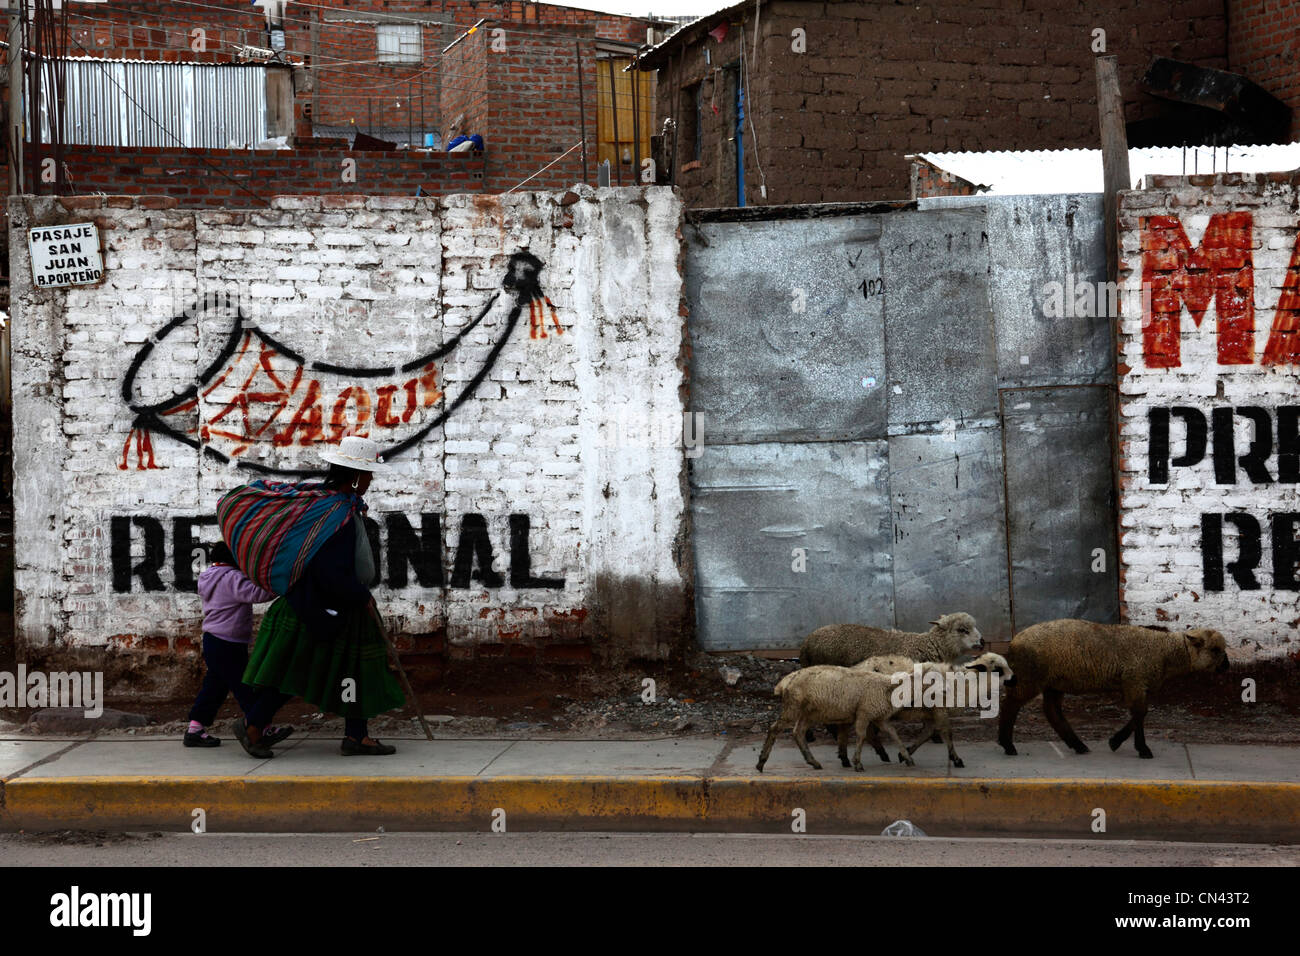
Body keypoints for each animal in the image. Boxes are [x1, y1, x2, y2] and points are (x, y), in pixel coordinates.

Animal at [754, 660, 946, 775]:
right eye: (933, 677)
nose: (946, 691)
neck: (888, 688)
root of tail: (787, 680)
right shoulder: (864, 713)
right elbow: (861, 736)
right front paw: (857, 763)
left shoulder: (879, 717)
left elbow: (893, 734)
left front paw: (907, 758)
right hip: (793, 706)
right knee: (774, 729)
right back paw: (761, 763)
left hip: (810, 712)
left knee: (798, 733)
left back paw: (813, 762)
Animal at [852, 650, 1013, 770]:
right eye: (998, 670)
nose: (1014, 679)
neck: (962, 684)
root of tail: (858, 667)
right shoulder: (940, 710)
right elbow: (947, 734)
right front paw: (957, 760)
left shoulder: (932, 715)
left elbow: (927, 734)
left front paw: (905, 754)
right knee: (866, 731)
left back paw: (879, 754)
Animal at [993, 621, 1227, 764]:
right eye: (1215, 649)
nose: (1226, 667)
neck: (1165, 652)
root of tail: (1014, 642)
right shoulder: (1135, 680)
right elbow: (1140, 713)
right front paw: (1141, 748)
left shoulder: (1138, 684)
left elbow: (1140, 713)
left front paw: (1117, 742)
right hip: (1028, 677)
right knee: (1010, 705)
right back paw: (1007, 745)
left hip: (1054, 682)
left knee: (1051, 711)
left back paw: (1078, 745)